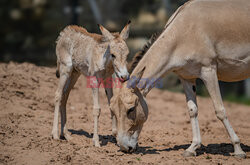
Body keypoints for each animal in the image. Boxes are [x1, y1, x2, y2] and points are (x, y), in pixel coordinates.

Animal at [110, 0, 250, 157]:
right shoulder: (186, 77)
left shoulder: (208, 71)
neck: (183, 32)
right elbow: (192, 110)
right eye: (112, 110)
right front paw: (192, 148)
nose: (124, 147)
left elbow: (220, 110)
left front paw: (238, 149)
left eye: (131, 109)